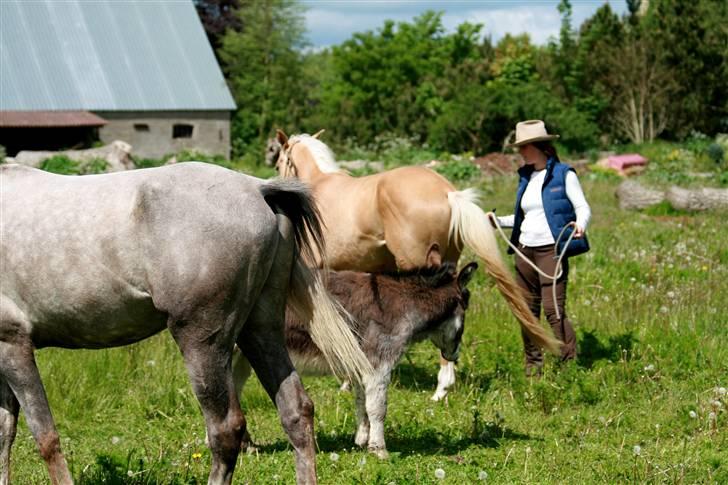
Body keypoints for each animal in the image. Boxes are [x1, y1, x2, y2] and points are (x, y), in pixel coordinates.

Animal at [0, 164, 372, 484]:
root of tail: (258, 189)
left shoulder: (14, 346)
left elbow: (45, 437)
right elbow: (5, 434)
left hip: (201, 343)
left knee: (225, 430)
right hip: (261, 331)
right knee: (296, 411)